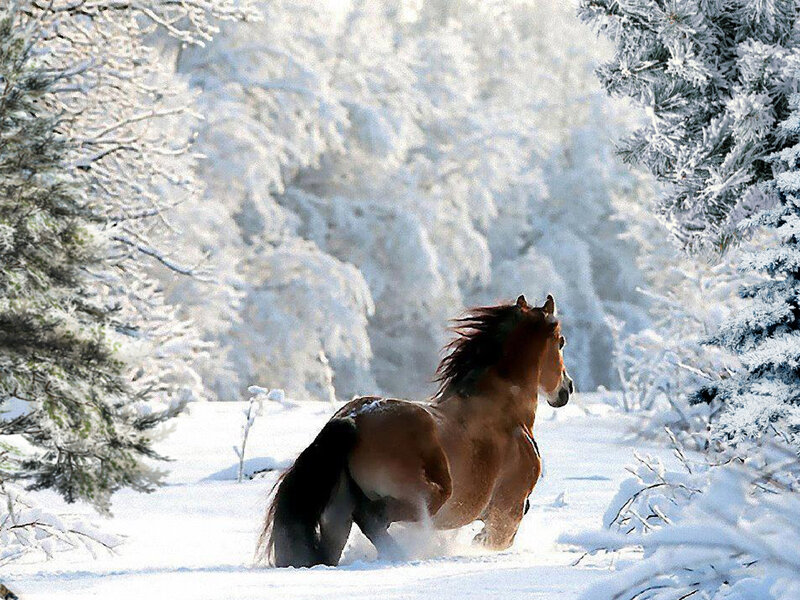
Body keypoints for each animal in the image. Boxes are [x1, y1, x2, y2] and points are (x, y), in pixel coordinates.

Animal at [257, 293, 574, 568]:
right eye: (560, 342)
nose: (566, 388)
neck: (505, 412)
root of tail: (352, 421)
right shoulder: (508, 510)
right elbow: (496, 540)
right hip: (428, 497)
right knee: (372, 518)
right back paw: (400, 555)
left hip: (336, 515)